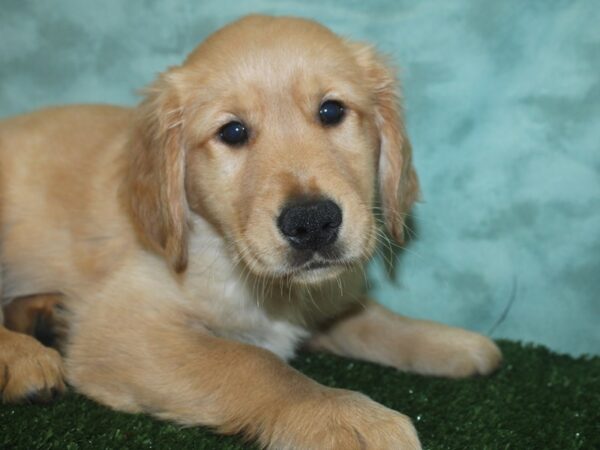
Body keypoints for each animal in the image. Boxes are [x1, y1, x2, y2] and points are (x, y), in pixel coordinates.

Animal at [0, 14, 500, 450]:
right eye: (233, 132)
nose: (312, 222)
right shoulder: (121, 328)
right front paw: (345, 415)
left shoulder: (325, 298)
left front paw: (446, 340)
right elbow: (253, 363)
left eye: (331, 110)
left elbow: (372, 319)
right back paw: (23, 357)